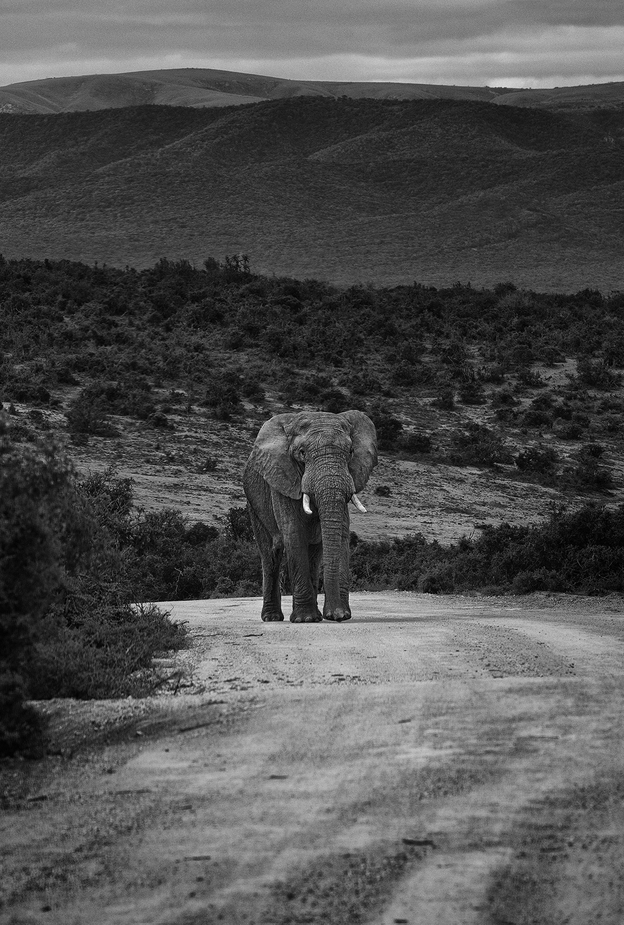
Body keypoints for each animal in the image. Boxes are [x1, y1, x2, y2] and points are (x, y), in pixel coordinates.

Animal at [243, 410, 380, 620]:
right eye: (302, 453)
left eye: (350, 452)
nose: (336, 616)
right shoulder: (283, 479)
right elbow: (294, 534)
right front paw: (306, 619)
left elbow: (341, 533)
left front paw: (338, 615)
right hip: (254, 504)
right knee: (270, 555)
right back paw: (273, 618)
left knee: (314, 556)